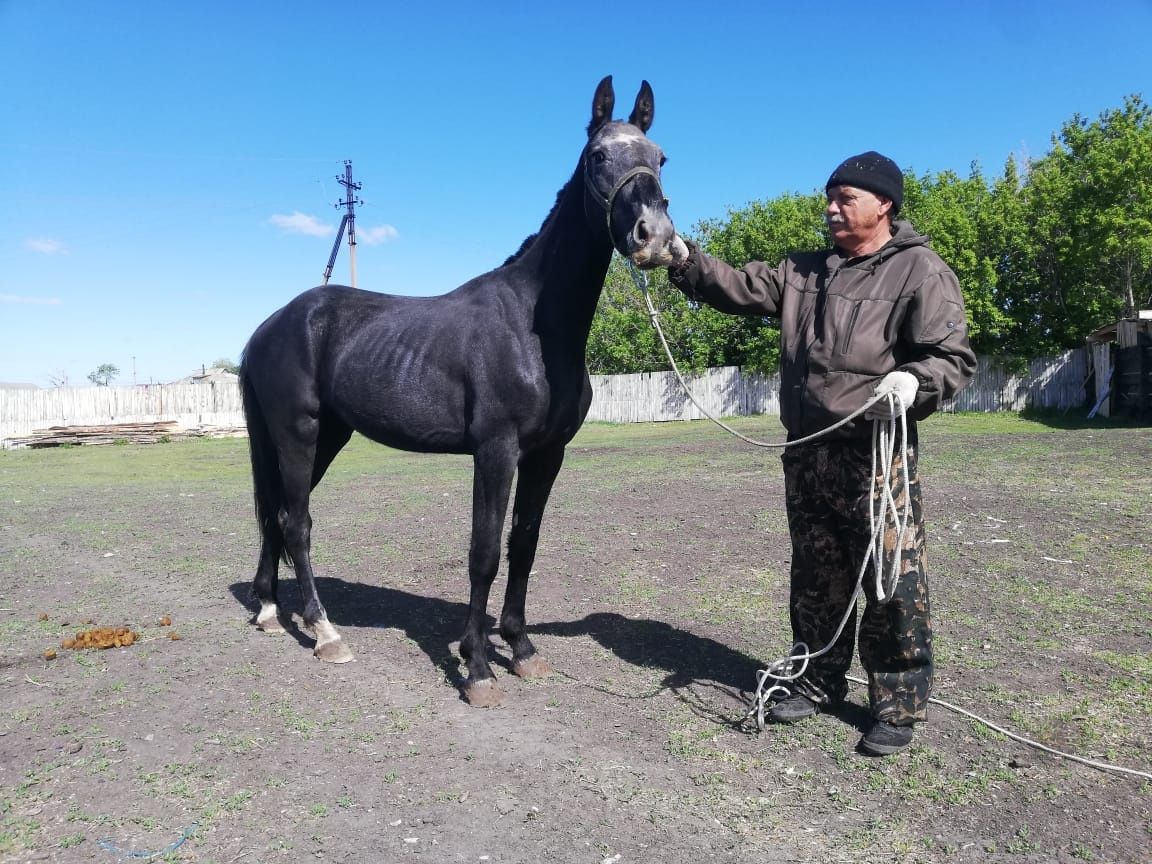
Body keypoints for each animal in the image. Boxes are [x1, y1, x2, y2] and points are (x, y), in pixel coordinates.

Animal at [236, 74, 681, 705]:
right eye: (598, 156)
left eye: (660, 158)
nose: (656, 238)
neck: (533, 325)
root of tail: (268, 328)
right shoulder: (495, 451)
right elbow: (484, 554)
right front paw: (477, 667)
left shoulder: (547, 454)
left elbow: (524, 545)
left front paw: (521, 648)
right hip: (297, 434)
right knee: (296, 522)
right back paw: (325, 634)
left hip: (326, 438)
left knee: (275, 514)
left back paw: (273, 610)